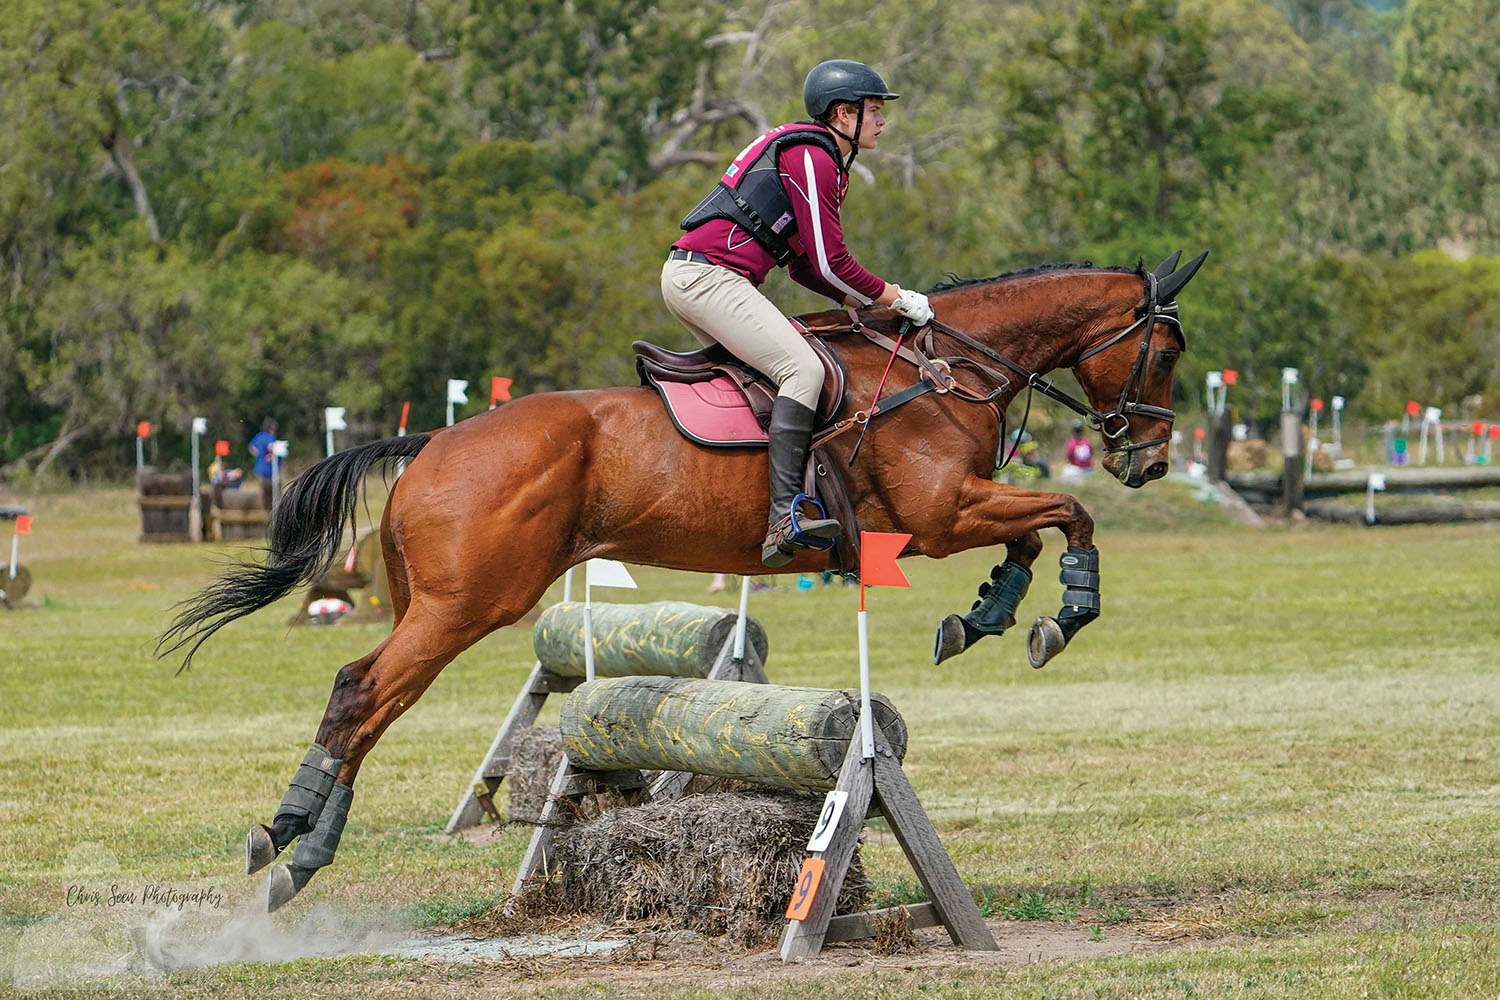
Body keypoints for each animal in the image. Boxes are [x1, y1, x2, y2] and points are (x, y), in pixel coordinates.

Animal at [161, 251, 1206, 910]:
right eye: (1166, 350)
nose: (1150, 460)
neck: (949, 368)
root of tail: (434, 443)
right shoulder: (941, 515)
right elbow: (1068, 517)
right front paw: (1061, 615)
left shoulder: (950, 517)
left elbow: (1035, 534)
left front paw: (987, 616)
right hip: (469, 605)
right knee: (361, 690)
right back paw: (290, 841)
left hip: (437, 601)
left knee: (371, 702)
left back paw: (295, 848)